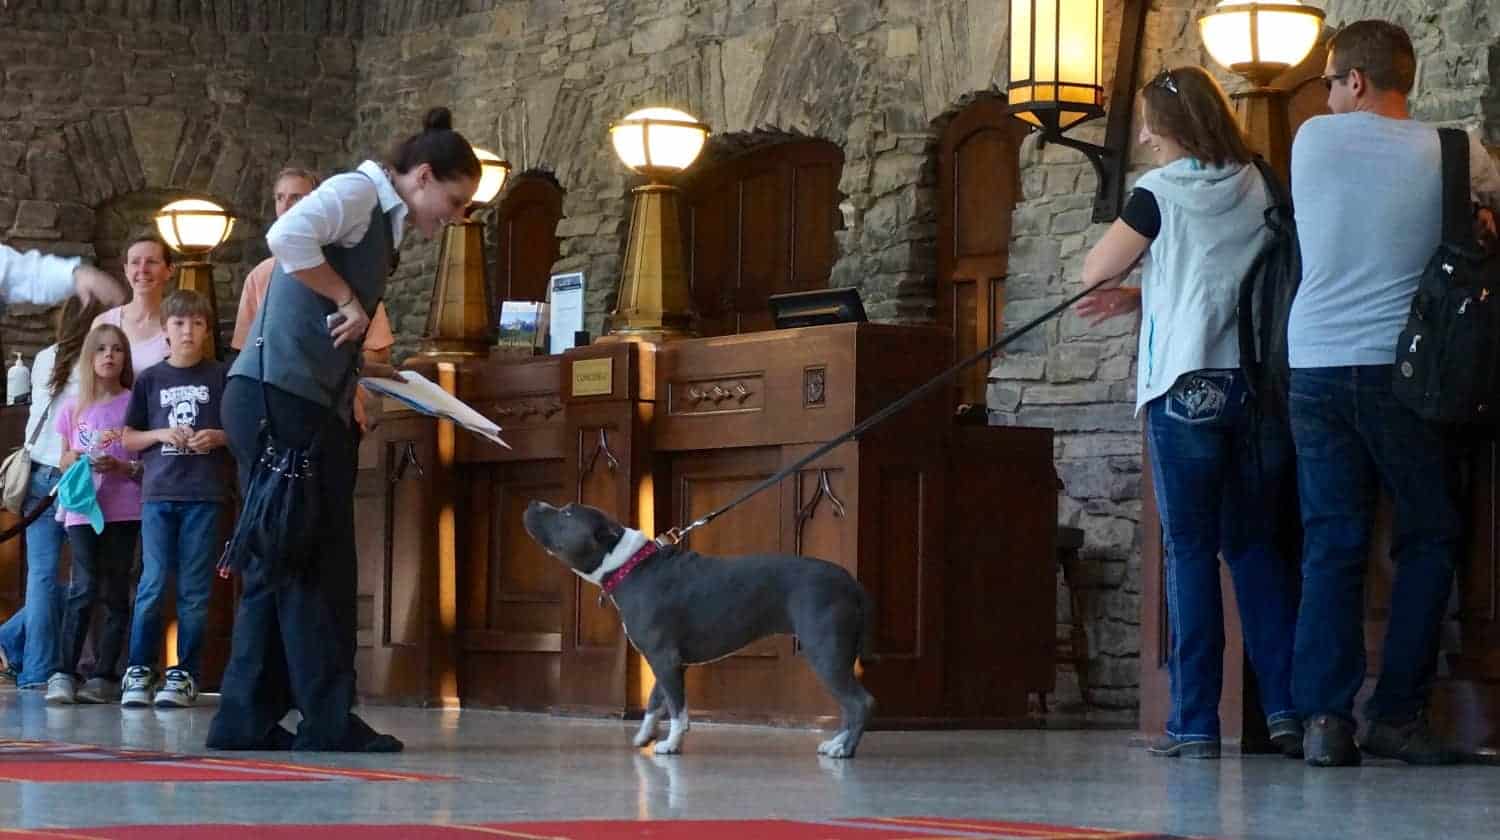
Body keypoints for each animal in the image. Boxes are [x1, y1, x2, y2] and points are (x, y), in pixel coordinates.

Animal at [522, 501, 876, 759]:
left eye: (567, 513)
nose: (534, 502)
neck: (628, 565)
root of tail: (851, 583)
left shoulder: (664, 658)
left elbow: (678, 708)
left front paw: (671, 744)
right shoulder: (666, 661)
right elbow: (657, 699)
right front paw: (645, 734)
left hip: (825, 651)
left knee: (859, 702)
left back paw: (845, 750)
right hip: (837, 655)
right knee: (848, 703)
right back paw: (837, 743)